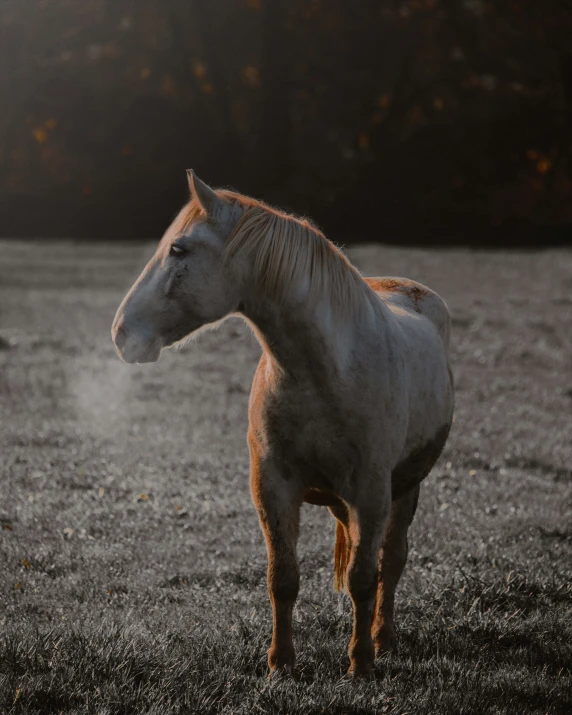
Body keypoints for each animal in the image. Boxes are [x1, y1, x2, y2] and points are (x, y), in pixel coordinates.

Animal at [111, 172, 454, 676]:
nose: (121, 332)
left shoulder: (372, 493)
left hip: (406, 487)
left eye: (178, 248)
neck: (324, 373)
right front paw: (281, 663)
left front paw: (361, 665)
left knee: (392, 561)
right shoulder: (272, 485)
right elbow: (283, 578)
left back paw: (384, 640)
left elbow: (364, 578)